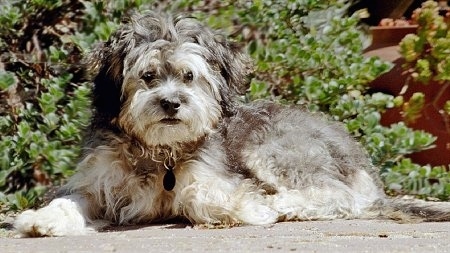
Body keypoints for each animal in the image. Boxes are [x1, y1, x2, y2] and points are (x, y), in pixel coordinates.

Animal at [14, 11, 450, 237]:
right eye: (148, 76)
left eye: (189, 76)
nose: (171, 103)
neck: (157, 151)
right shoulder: (98, 180)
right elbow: (71, 198)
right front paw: (44, 218)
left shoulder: (211, 176)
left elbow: (196, 196)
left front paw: (251, 205)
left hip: (272, 149)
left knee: (336, 196)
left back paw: (281, 204)